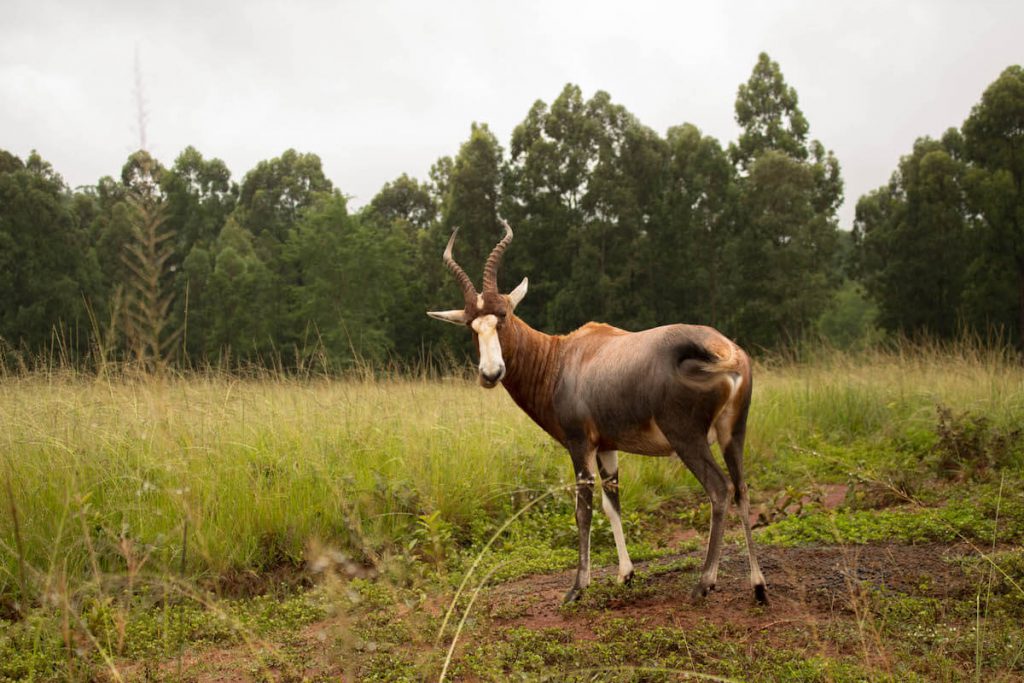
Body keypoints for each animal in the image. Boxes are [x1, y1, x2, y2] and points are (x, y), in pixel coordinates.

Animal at [425, 219, 770, 602]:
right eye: (472, 325)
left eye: (503, 316)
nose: (490, 373)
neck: (563, 357)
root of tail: (722, 351)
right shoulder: (607, 447)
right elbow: (612, 502)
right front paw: (625, 574)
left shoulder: (580, 444)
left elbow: (583, 509)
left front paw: (577, 587)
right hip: (732, 434)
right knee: (741, 488)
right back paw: (758, 586)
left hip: (688, 439)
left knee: (719, 490)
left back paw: (703, 584)